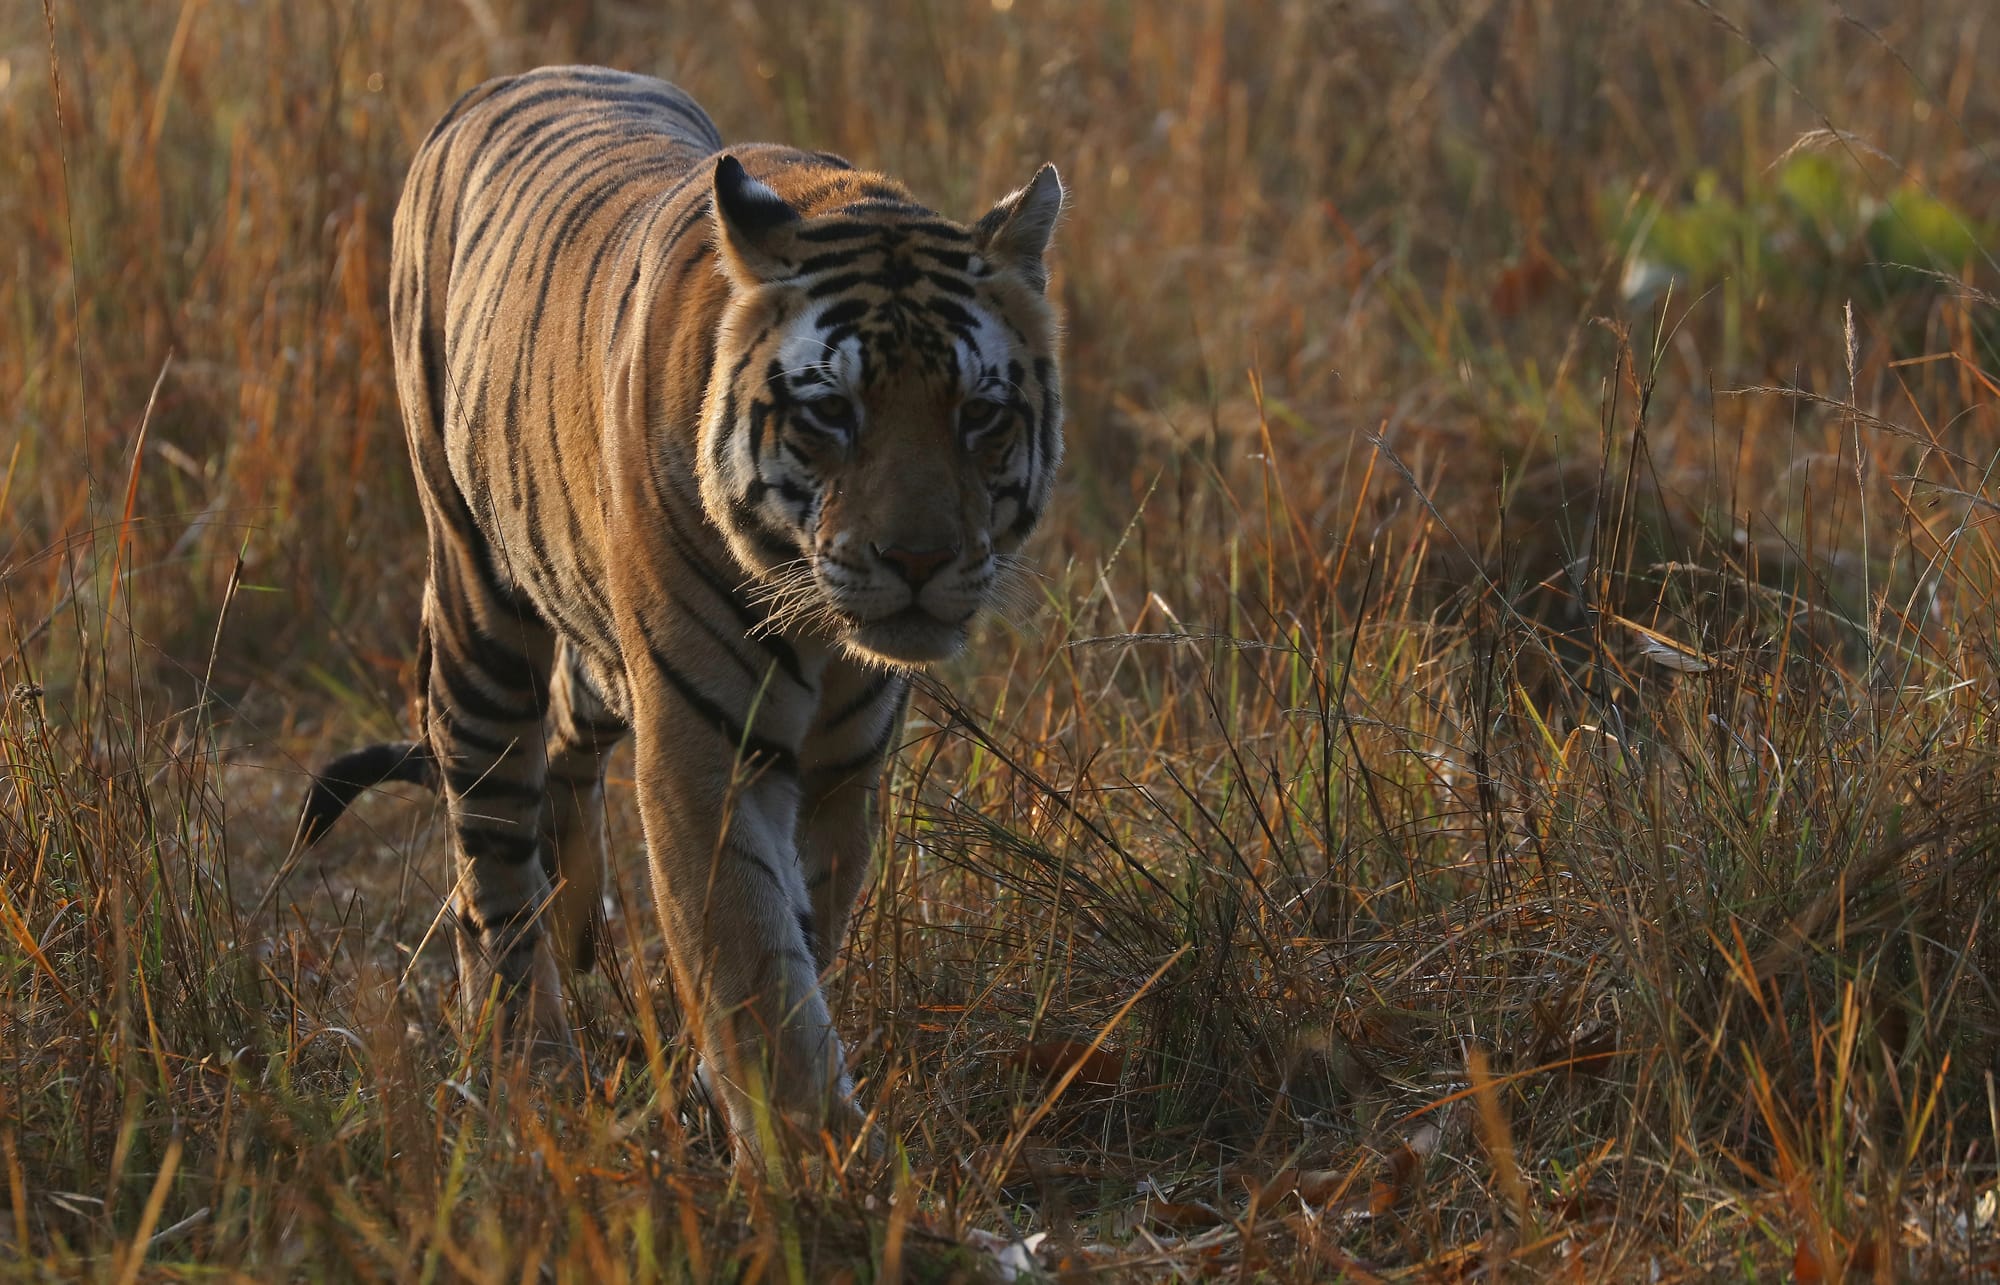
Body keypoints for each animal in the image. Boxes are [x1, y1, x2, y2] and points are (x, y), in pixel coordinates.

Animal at [292, 62, 1064, 1160]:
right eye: (832, 412)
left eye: (980, 414)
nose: (917, 560)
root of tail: (516, 76)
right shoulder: (707, 747)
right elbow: (751, 956)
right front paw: (813, 1153)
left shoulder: (840, 769)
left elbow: (798, 924)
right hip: (477, 608)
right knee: (490, 861)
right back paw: (525, 1059)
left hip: (600, 641)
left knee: (565, 741)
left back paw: (577, 918)